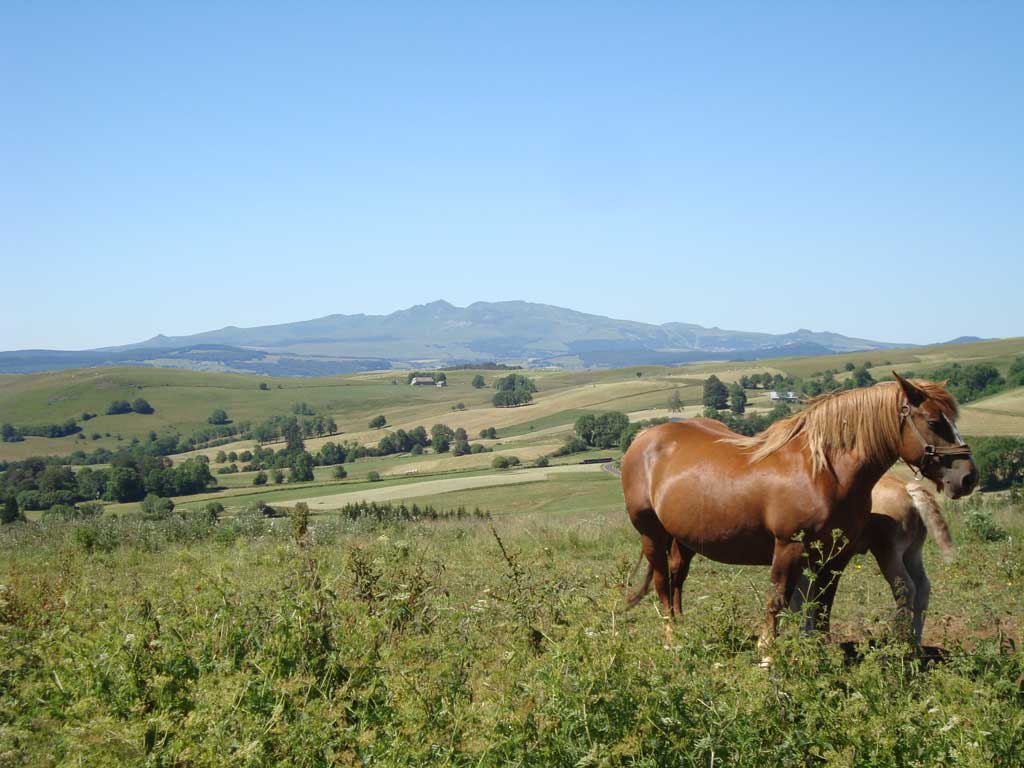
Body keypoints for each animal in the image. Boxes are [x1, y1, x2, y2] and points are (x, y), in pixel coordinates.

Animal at [621, 374, 975, 646]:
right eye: (934, 422)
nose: (968, 477)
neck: (823, 472)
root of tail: (644, 438)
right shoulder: (788, 548)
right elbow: (778, 600)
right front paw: (768, 653)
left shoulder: (836, 556)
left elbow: (821, 606)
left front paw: (818, 652)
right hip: (651, 535)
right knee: (662, 582)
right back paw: (673, 638)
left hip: (684, 538)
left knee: (677, 578)